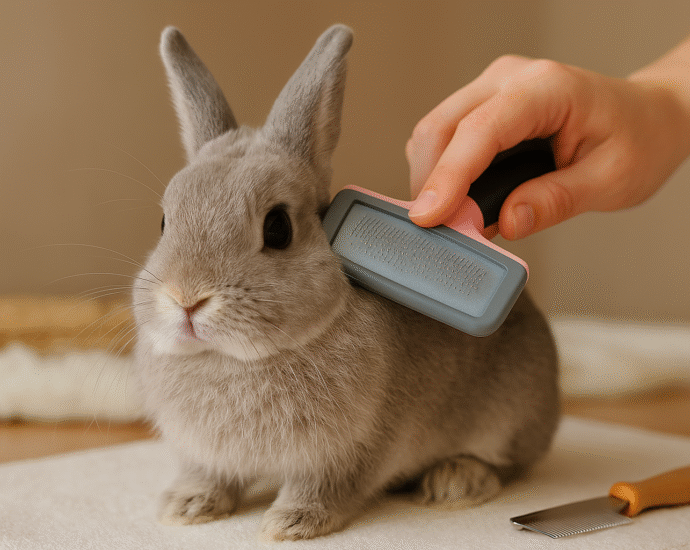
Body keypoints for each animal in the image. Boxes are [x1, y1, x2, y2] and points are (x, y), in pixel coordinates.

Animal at [132, 24, 559, 541]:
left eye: (278, 228)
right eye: (163, 222)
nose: (187, 299)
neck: (234, 360)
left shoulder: (351, 450)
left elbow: (326, 487)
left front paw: (289, 524)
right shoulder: (207, 455)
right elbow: (209, 475)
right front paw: (185, 506)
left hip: (512, 413)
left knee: (510, 464)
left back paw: (455, 482)